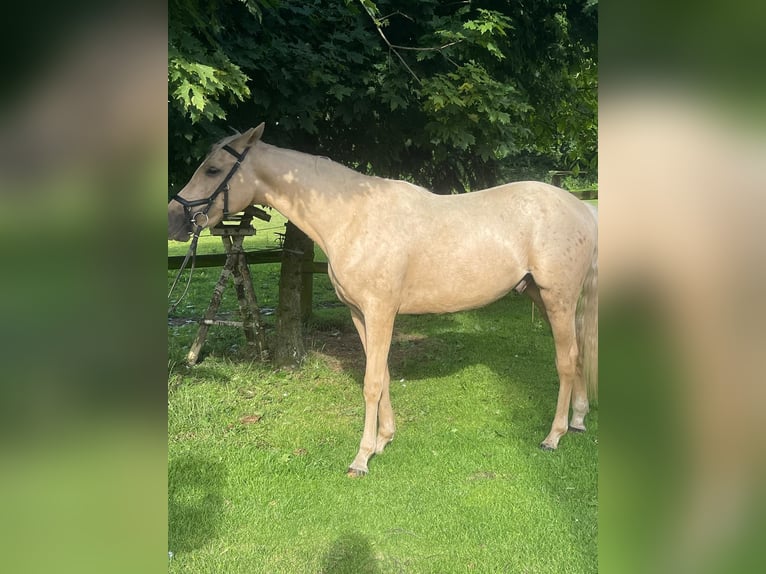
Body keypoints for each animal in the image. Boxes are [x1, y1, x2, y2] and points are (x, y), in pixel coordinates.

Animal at [168, 125, 600, 476]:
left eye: (212, 169)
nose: (174, 218)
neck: (352, 217)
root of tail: (581, 207)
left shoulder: (380, 313)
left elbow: (372, 383)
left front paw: (361, 458)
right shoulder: (360, 315)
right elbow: (384, 375)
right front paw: (383, 440)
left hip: (558, 299)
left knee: (566, 360)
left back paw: (555, 435)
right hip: (543, 298)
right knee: (578, 353)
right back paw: (579, 420)